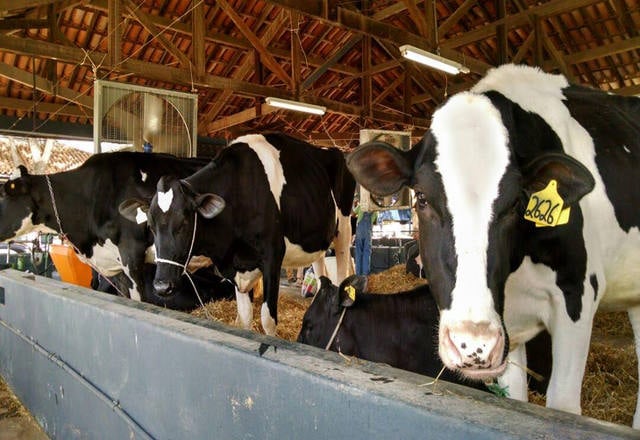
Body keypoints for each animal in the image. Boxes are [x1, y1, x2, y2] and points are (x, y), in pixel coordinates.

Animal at [121, 132, 356, 336]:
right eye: (151, 225)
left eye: (184, 222)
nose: (162, 286)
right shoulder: (237, 266)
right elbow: (244, 319)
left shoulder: (272, 257)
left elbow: (267, 320)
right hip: (318, 241)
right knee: (321, 271)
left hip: (344, 230)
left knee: (342, 273)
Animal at [348, 64, 640, 426]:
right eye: (422, 198)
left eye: (516, 203)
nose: (472, 345)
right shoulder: (507, 329)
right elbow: (514, 401)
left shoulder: (578, 294)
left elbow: (562, 407)